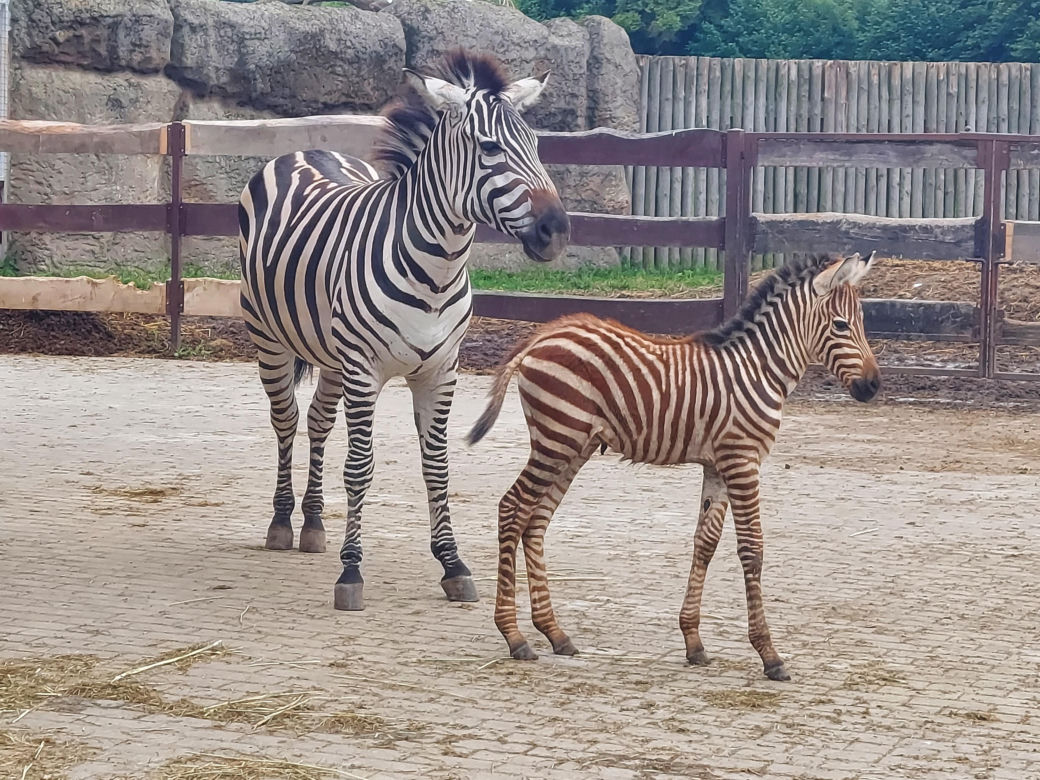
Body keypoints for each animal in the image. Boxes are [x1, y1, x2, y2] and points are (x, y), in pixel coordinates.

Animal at [239, 50, 570, 612]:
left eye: (537, 145)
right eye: (489, 148)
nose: (556, 231)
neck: (436, 271)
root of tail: (307, 148)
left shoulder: (441, 371)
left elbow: (436, 467)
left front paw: (453, 565)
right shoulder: (364, 370)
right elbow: (360, 468)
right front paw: (351, 572)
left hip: (331, 357)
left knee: (319, 422)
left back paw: (312, 522)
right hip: (271, 339)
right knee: (286, 421)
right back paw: (283, 521)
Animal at [467, 251, 881, 680]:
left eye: (861, 322)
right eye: (841, 324)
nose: (873, 386)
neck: (757, 369)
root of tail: (541, 336)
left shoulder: (717, 465)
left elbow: (705, 543)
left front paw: (694, 641)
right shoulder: (742, 460)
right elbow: (752, 549)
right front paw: (769, 655)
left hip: (572, 445)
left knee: (536, 519)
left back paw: (554, 632)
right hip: (557, 438)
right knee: (512, 508)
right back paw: (514, 636)